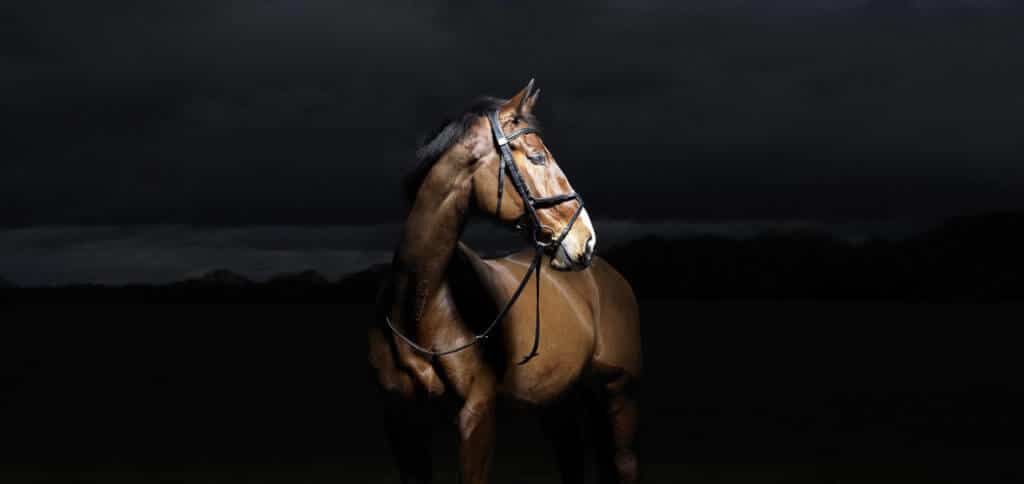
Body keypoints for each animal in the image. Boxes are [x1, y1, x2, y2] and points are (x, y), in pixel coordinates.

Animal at [368, 80, 642, 484]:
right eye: (538, 157)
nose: (585, 239)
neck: (421, 304)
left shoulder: (476, 415)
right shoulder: (401, 421)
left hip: (618, 394)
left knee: (623, 463)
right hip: (560, 404)